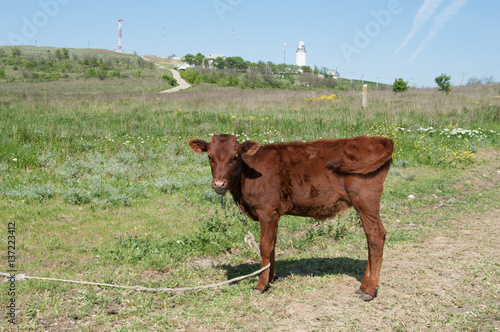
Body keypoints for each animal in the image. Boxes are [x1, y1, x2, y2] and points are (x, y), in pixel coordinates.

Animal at [188, 135, 394, 300]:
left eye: (235, 157)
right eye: (210, 157)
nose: (219, 184)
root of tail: (377, 139)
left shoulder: (267, 211)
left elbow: (264, 245)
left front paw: (260, 285)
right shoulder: (275, 213)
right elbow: (272, 244)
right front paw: (270, 278)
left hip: (365, 199)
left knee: (376, 235)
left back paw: (369, 290)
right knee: (371, 237)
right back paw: (364, 286)